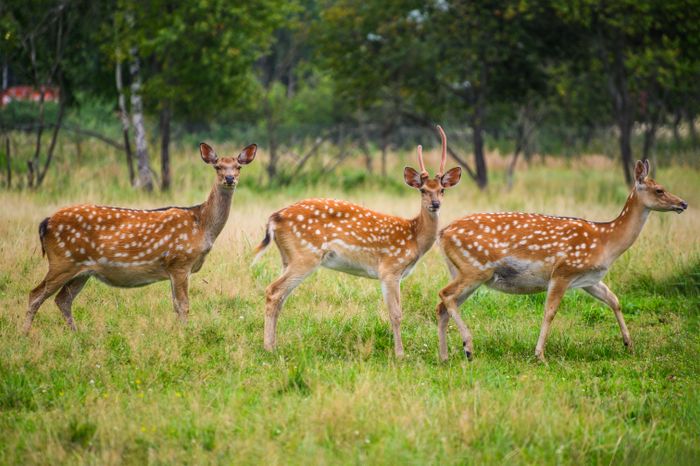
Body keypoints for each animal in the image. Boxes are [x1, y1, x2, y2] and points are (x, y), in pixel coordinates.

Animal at [24, 142, 257, 333]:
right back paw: (25, 334)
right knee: (35, 294)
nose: (229, 178)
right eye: (217, 166)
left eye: (238, 166)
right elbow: (183, 305)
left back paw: (76, 334)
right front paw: (185, 335)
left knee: (63, 299)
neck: (202, 226)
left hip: (82, 270)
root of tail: (46, 223)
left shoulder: (174, 269)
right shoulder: (180, 262)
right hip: (62, 261)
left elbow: (175, 305)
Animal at [253, 126, 462, 357]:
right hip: (305, 255)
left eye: (442, 190)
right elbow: (396, 314)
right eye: (423, 190)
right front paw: (400, 354)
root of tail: (274, 218)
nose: (435, 204)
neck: (414, 238)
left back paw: (273, 345)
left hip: (287, 257)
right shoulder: (389, 269)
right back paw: (268, 348)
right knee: (273, 291)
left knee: (280, 296)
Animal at [435, 159, 688, 363]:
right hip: (475, 269)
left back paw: (445, 356)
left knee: (443, 306)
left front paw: (629, 345)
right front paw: (540, 355)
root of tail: (443, 233)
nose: (683, 203)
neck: (606, 242)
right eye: (659, 190)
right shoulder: (564, 271)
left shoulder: (589, 279)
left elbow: (614, 300)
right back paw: (468, 347)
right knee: (445, 295)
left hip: (464, 271)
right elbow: (550, 311)